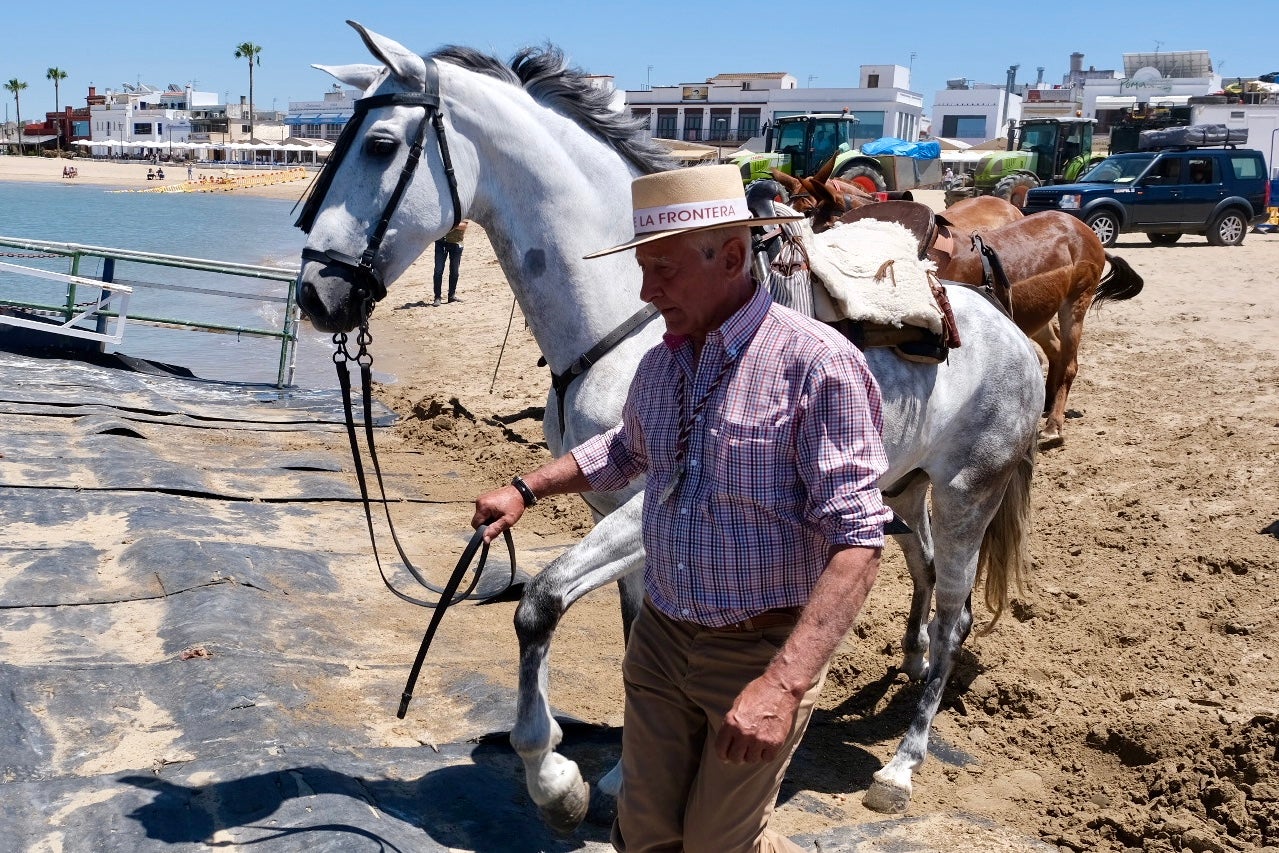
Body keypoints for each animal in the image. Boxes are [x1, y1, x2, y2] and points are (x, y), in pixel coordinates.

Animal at [936, 211, 1145, 450]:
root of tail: (1087, 231)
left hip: (1075, 305)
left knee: (1069, 365)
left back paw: (1053, 426)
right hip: (1039, 313)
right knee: (1055, 351)